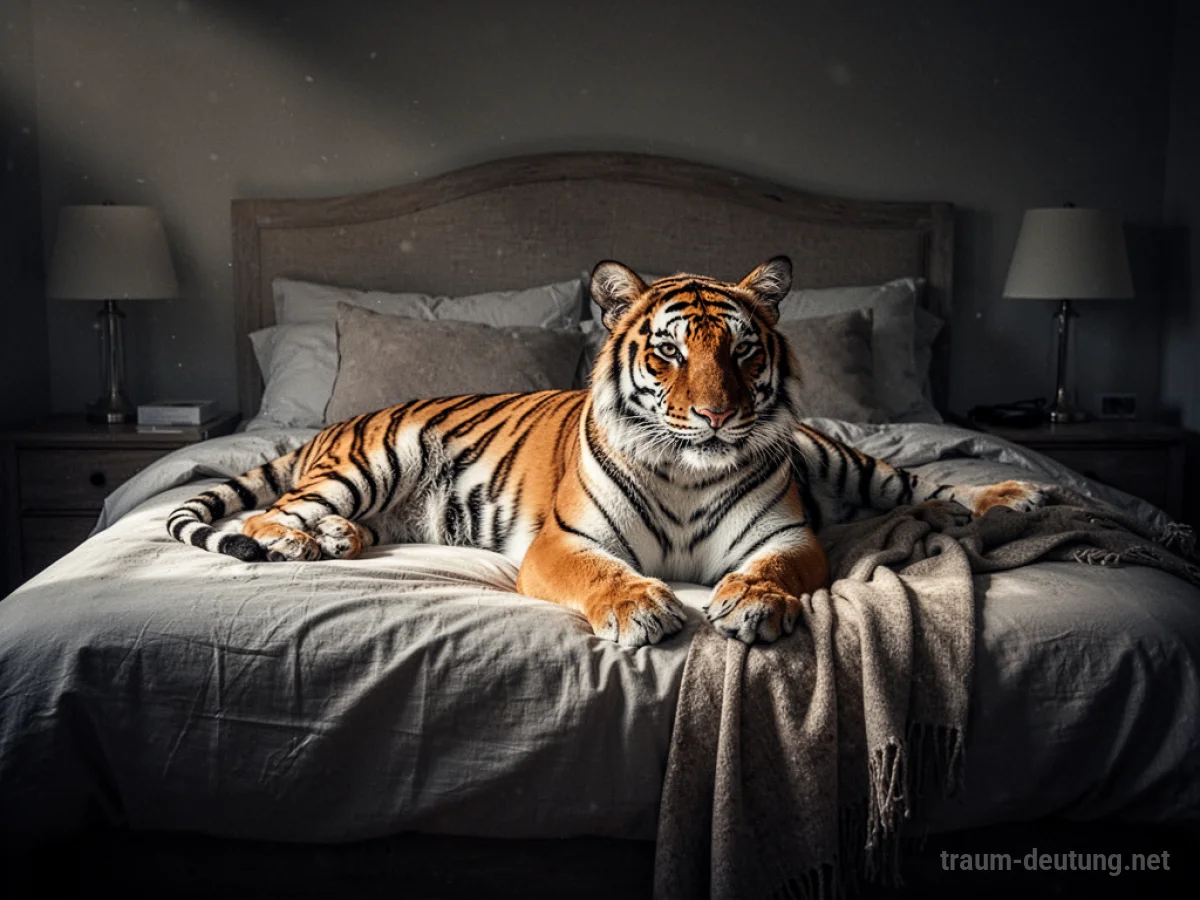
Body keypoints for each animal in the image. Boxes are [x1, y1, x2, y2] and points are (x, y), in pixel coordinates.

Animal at [168, 256, 1045, 648]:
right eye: (667, 352)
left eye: (743, 351)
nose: (717, 415)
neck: (690, 472)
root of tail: (331, 426)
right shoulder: (564, 543)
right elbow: (603, 574)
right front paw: (641, 608)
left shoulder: (789, 536)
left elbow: (772, 569)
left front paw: (753, 604)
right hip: (371, 461)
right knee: (280, 509)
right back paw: (301, 541)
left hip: (838, 458)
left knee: (920, 487)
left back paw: (1011, 499)